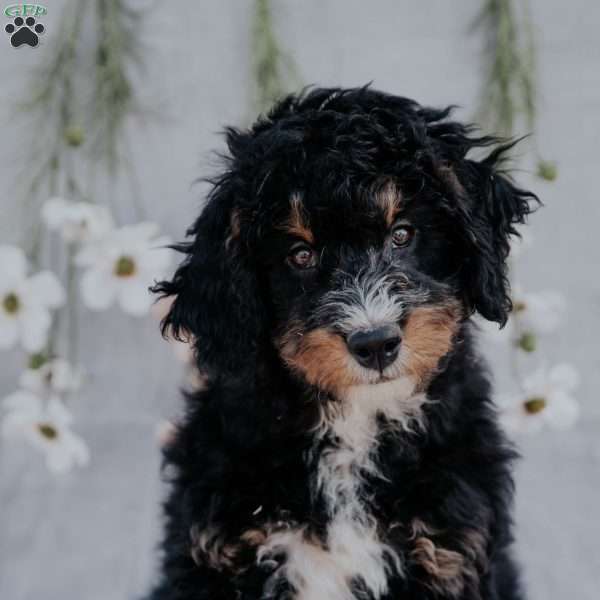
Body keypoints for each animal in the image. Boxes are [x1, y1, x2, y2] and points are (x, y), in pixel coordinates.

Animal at [148, 85, 536, 600]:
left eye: (402, 234)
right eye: (300, 255)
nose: (375, 343)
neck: (356, 425)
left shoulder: (450, 551)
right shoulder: (219, 551)